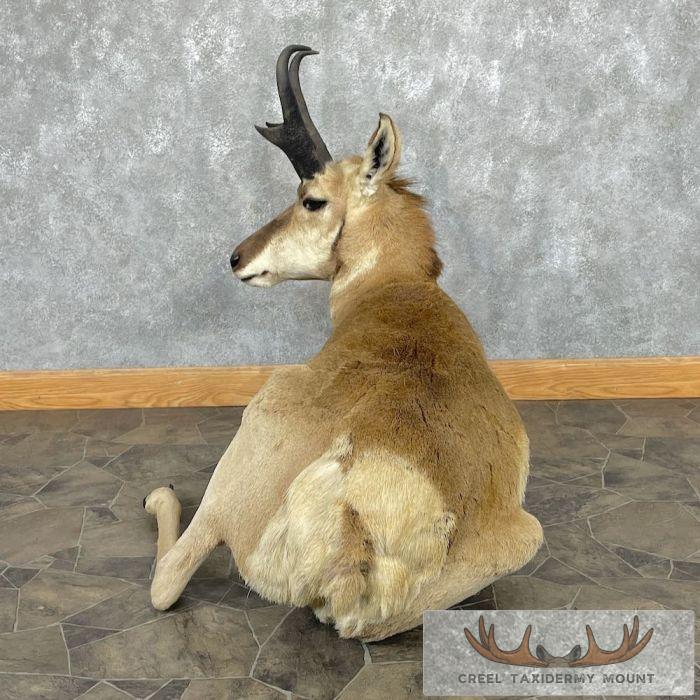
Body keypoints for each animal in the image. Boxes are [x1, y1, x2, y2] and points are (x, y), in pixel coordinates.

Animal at [144, 45, 543, 641]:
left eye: (311, 199)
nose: (237, 257)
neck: (397, 292)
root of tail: (354, 518)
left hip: (235, 467)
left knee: (168, 577)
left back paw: (160, 496)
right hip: (523, 539)